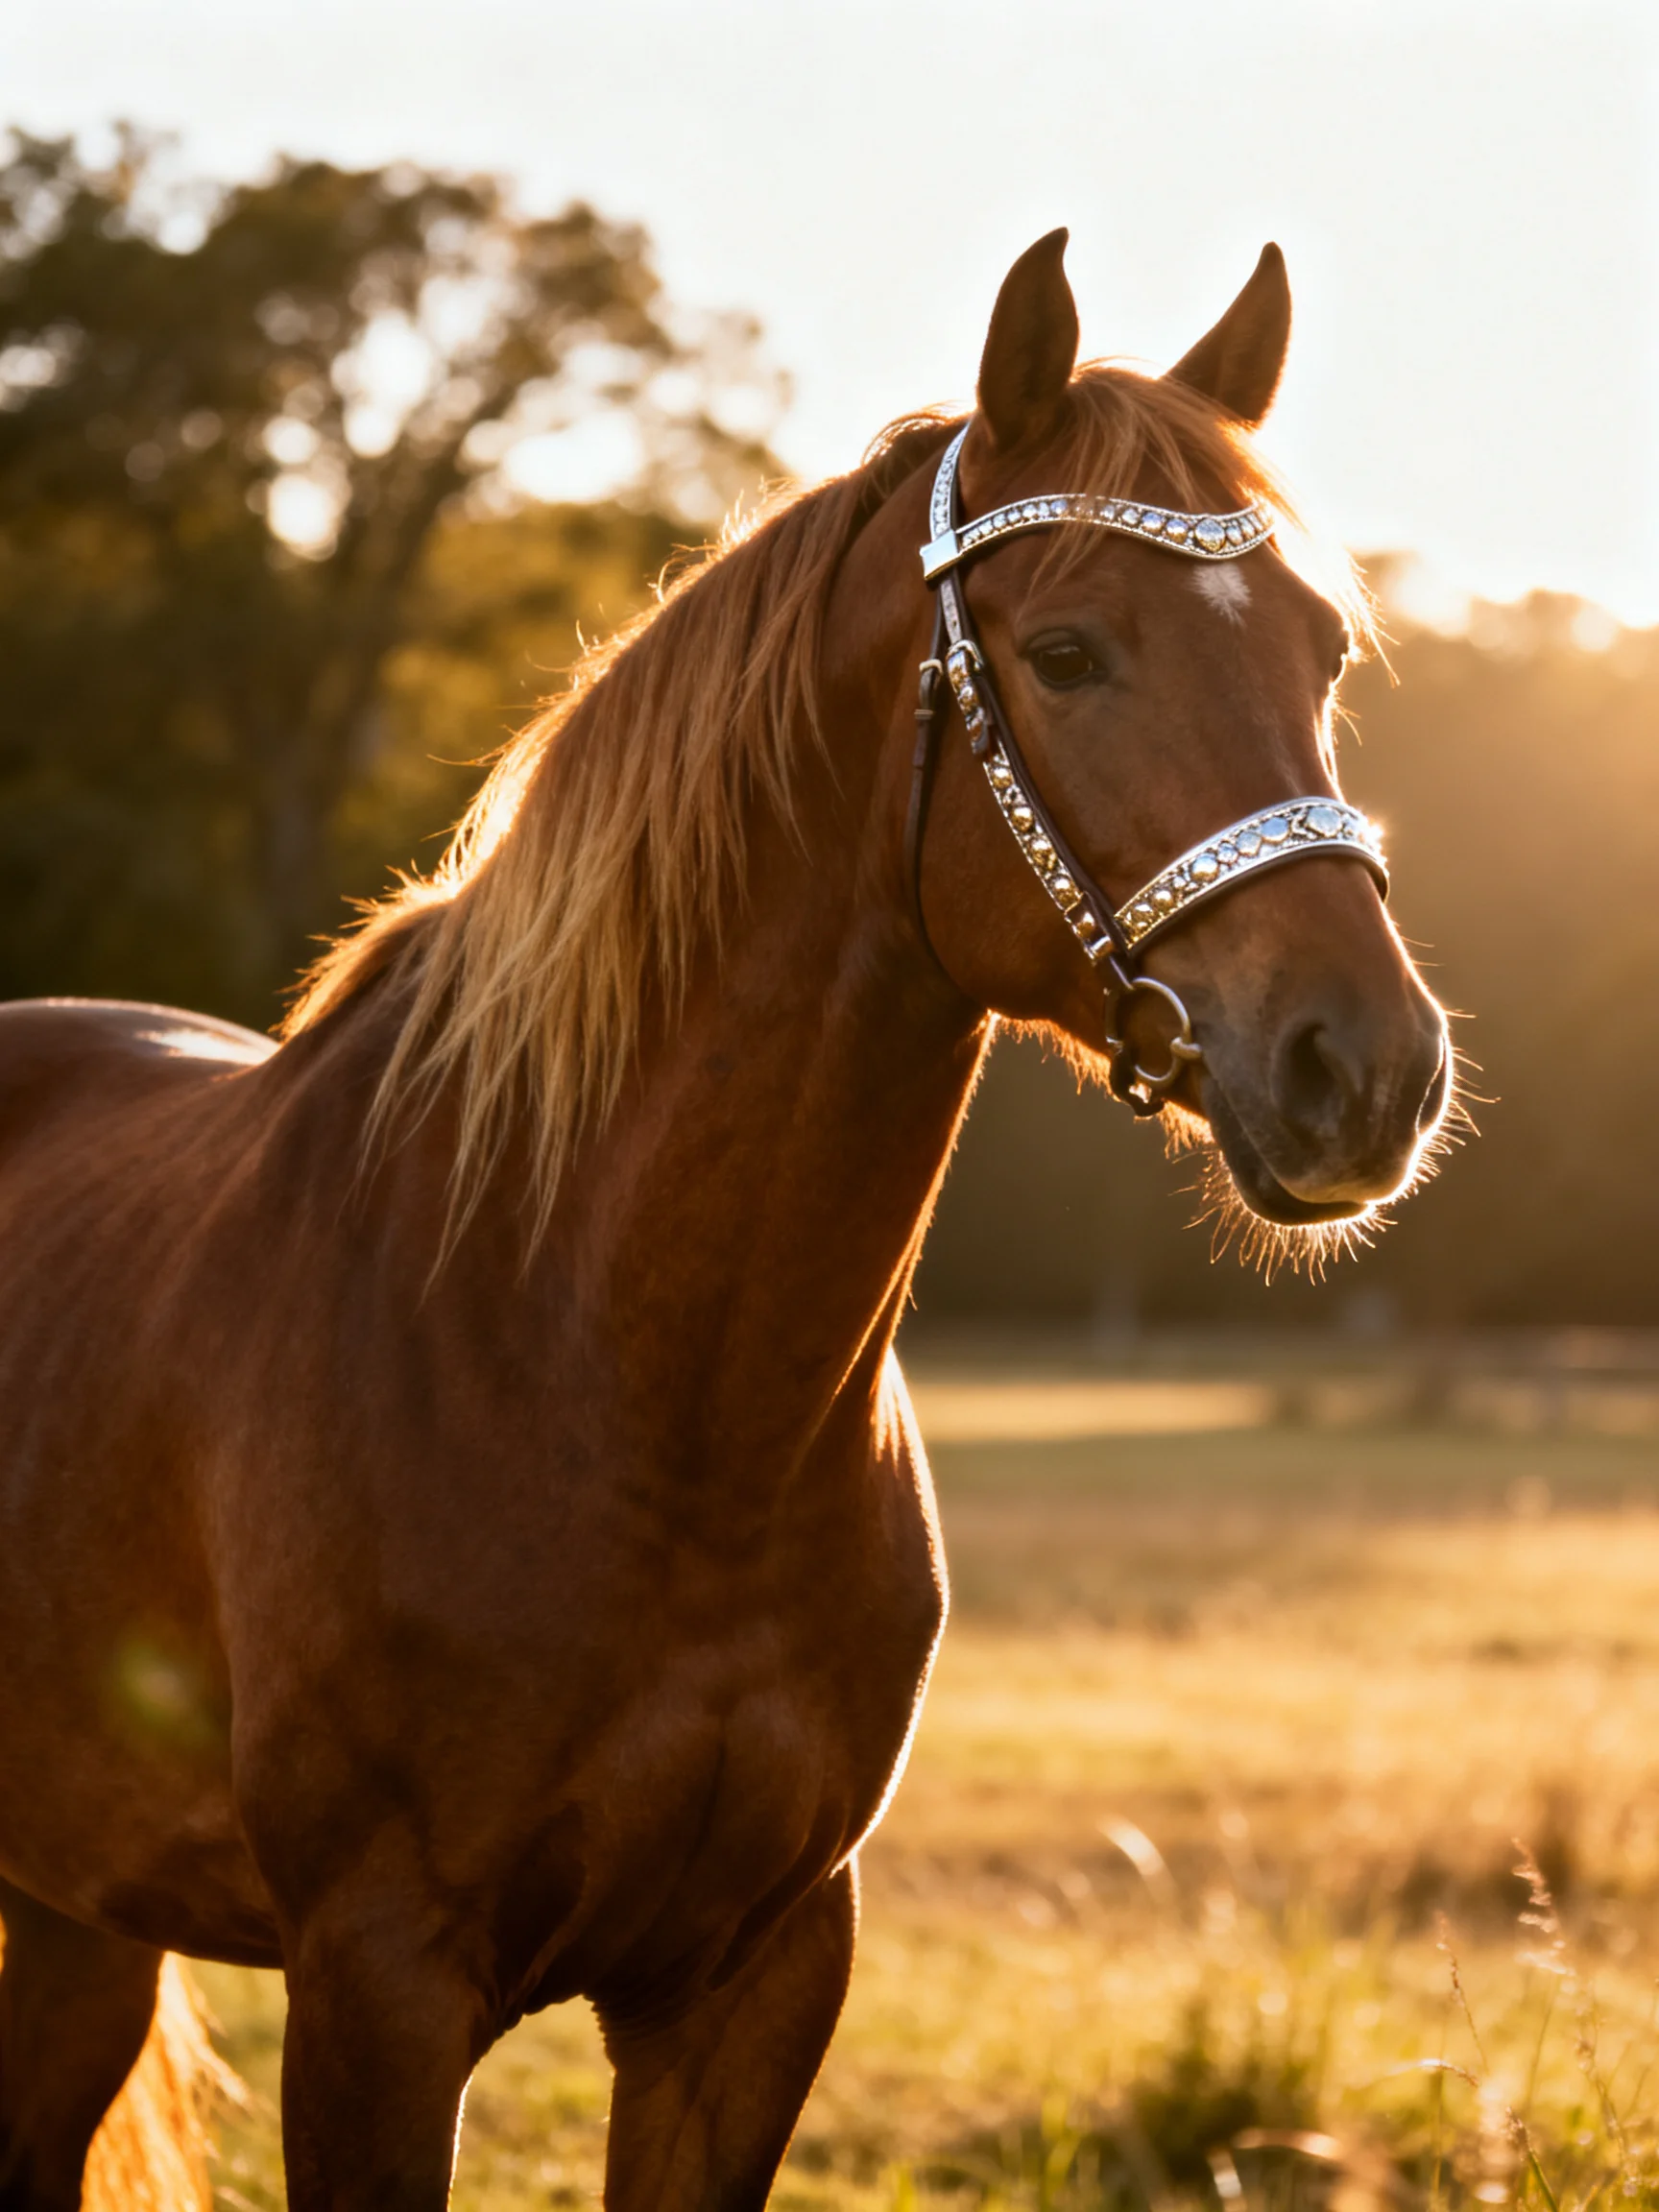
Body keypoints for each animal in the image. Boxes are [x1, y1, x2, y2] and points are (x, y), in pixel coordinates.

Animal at [0, 230, 1450, 2210]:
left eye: (1321, 648)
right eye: (1065, 650)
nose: (1361, 1069)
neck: (619, 1378)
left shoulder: (751, 1981)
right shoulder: (377, 1979)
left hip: (81, 1908)